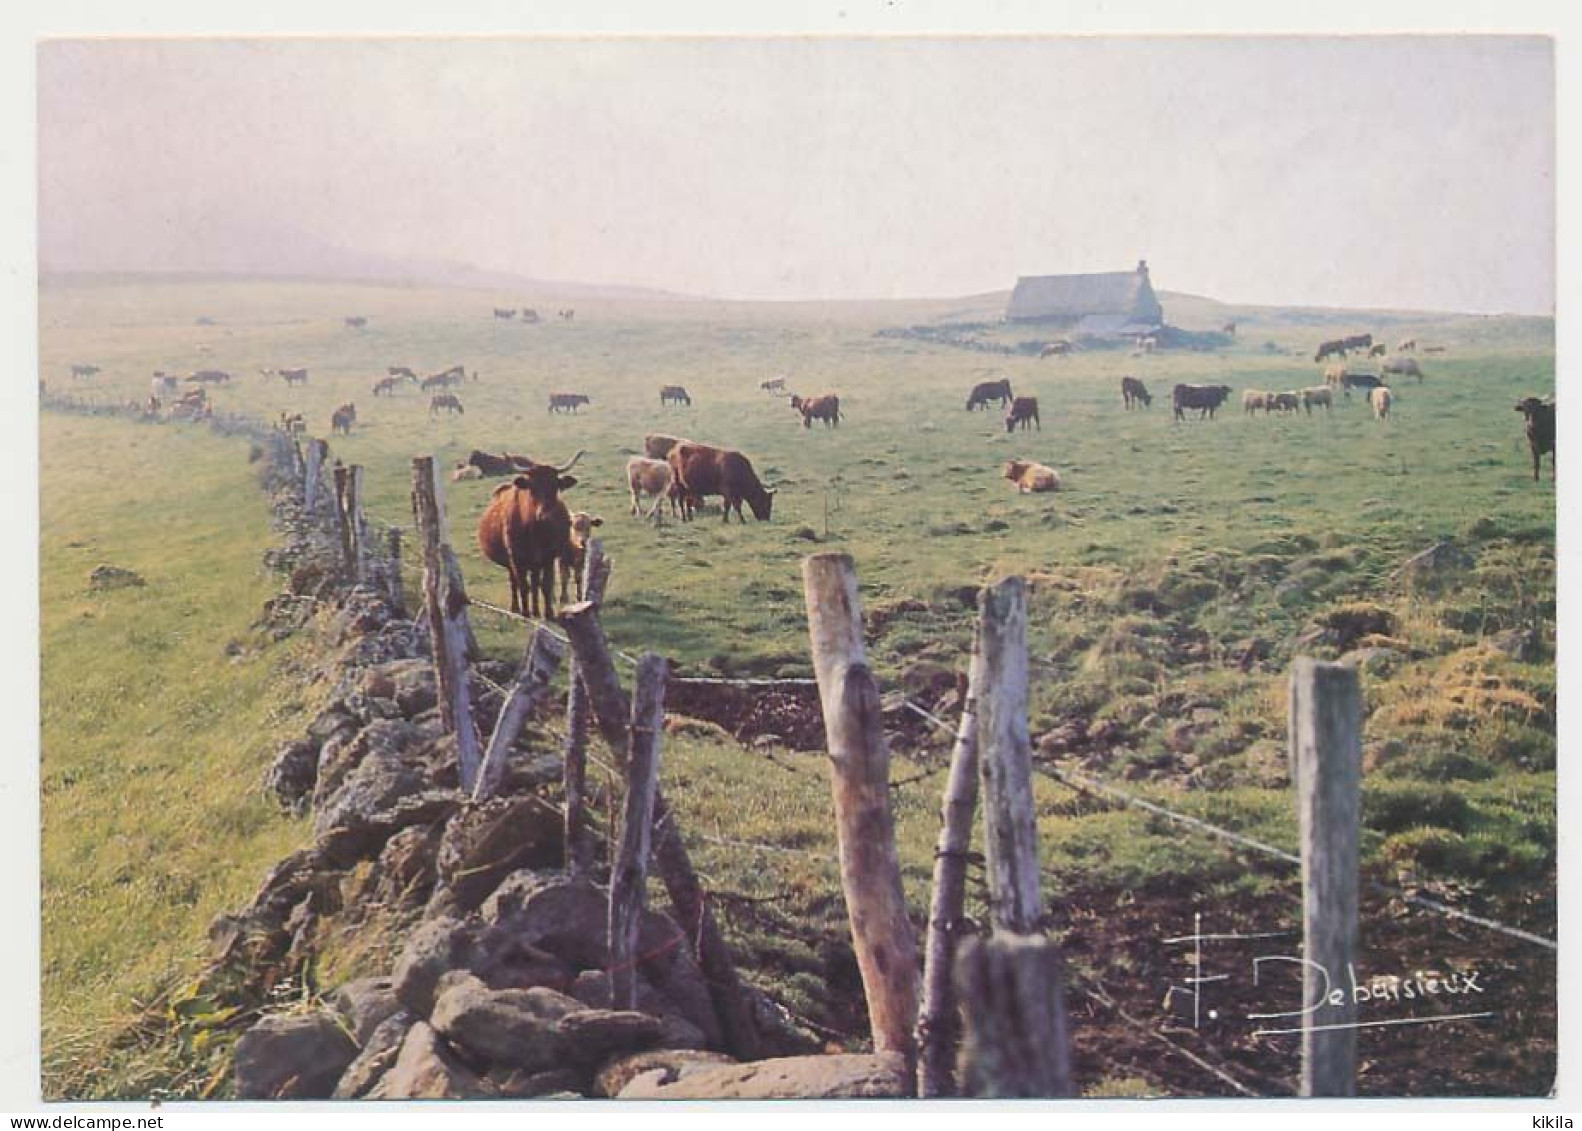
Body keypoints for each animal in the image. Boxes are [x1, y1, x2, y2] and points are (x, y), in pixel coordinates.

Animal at [477, 449, 591, 613]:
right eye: (533, 487)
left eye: (555, 486)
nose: (545, 514)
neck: (535, 529)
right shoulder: (517, 558)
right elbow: (523, 586)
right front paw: (526, 613)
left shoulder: (548, 557)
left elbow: (546, 585)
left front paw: (549, 613)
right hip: (513, 563)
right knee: (515, 583)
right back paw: (516, 608)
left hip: (535, 563)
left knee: (535, 583)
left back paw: (536, 610)